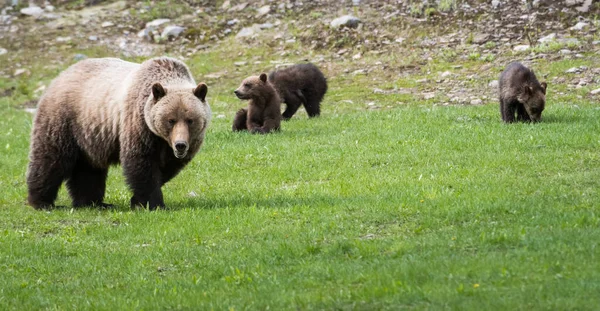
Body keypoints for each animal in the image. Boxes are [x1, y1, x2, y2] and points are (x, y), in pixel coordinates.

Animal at [27, 57, 211, 211]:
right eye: (171, 120)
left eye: (190, 120)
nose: (180, 145)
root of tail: (60, 76)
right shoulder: (139, 125)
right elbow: (141, 163)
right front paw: (153, 203)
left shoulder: (180, 144)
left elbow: (166, 169)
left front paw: (137, 200)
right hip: (64, 119)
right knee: (51, 158)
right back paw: (41, 201)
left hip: (89, 134)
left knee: (88, 168)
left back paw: (92, 202)